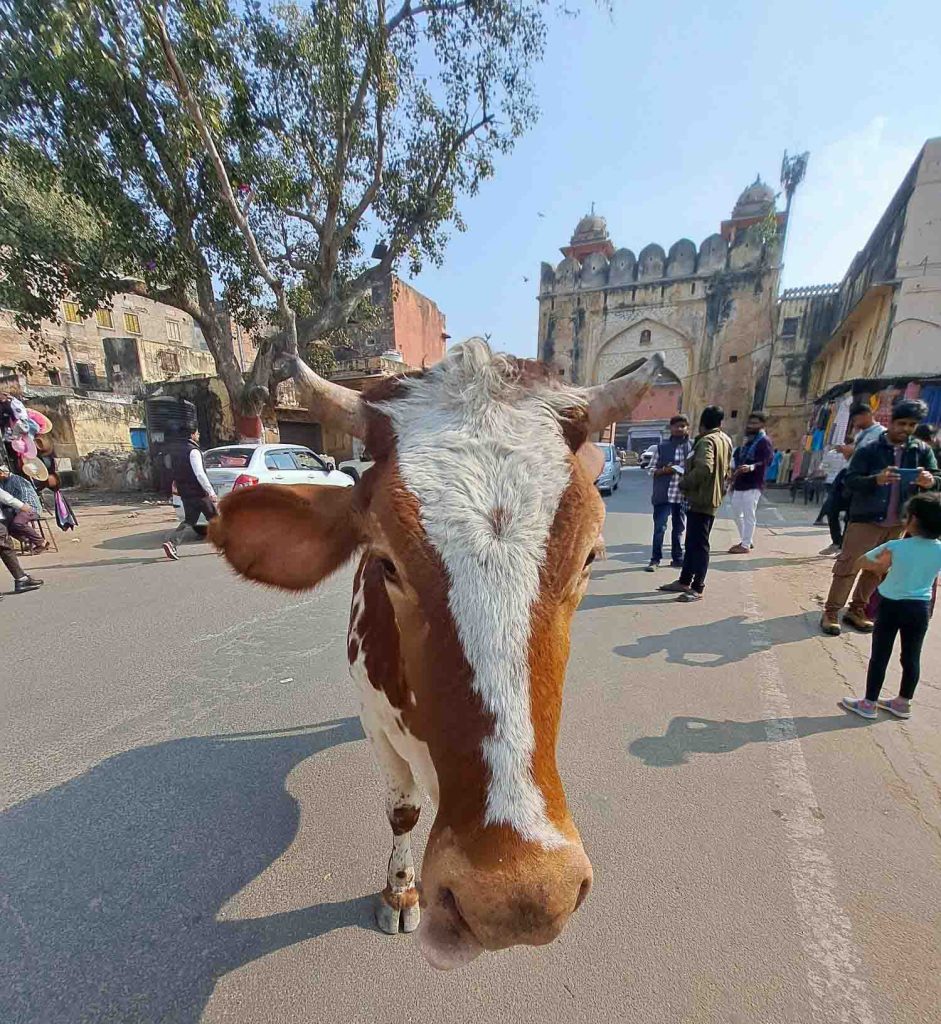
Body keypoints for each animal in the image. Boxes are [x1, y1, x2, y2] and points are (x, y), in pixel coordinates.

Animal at [209, 339, 663, 970]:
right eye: (386, 561)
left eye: (590, 555)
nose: (516, 896)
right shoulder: (375, 721)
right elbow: (403, 810)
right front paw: (400, 892)